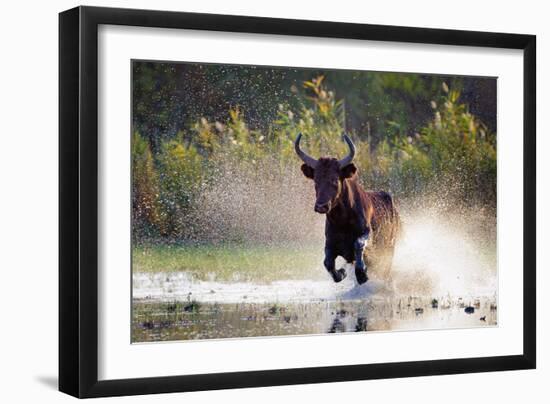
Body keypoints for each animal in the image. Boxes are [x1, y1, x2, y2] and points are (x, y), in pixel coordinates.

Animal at [298, 133, 402, 284]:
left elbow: (358, 245)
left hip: (389, 249)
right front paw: (341, 273)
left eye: (334, 180)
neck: (343, 221)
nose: (321, 206)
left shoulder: (367, 235)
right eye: (316, 180)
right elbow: (327, 262)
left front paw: (362, 273)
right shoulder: (330, 243)